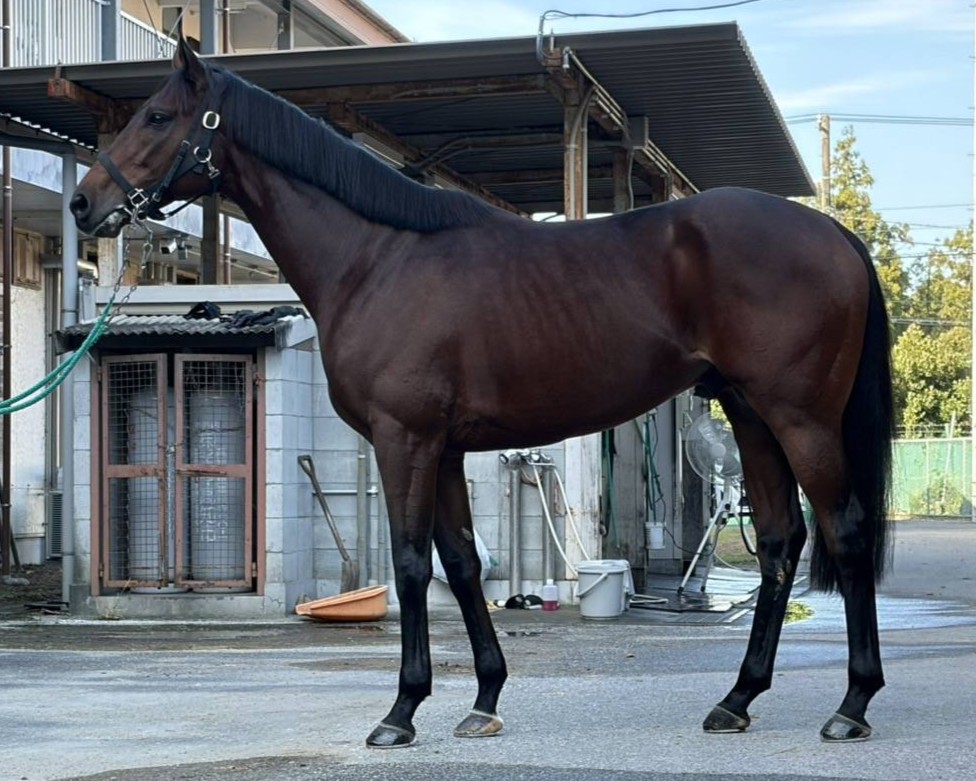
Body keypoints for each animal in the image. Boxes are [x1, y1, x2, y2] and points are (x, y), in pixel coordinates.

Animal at [70, 38, 893, 748]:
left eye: (158, 116)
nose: (83, 203)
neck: (377, 259)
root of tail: (836, 236)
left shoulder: (403, 438)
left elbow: (409, 565)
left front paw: (400, 711)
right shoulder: (442, 447)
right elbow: (461, 563)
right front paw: (484, 699)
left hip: (801, 419)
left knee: (847, 531)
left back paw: (852, 704)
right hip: (753, 415)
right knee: (781, 541)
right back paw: (737, 698)